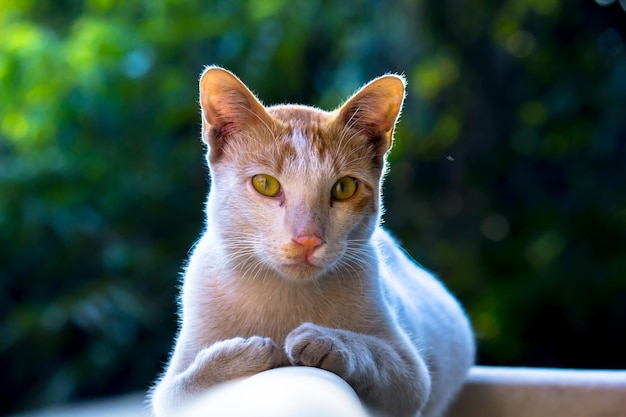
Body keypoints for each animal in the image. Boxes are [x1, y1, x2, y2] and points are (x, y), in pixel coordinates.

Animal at [150, 66, 472, 416]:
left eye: (344, 188)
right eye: (265, 184)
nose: (308, 239)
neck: (284, 295)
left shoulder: (412, 378)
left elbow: (377, 357)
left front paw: (325, 341)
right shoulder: (167, 394)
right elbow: (185, 387)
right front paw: (249, 352)